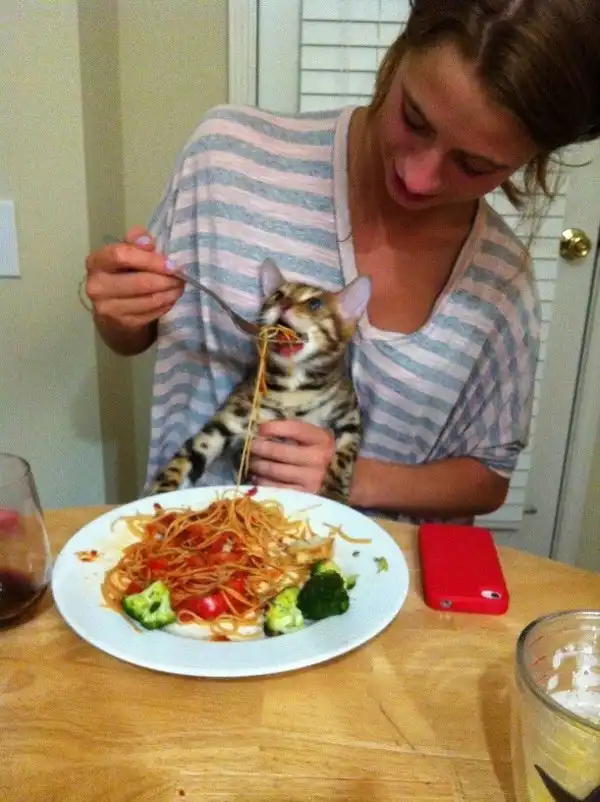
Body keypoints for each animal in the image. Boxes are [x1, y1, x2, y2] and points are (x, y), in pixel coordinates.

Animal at [151, 259, 372, 503]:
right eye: (277, 295)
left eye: (314, 303)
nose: (283, 304)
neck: (293, 387)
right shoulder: (228, 422)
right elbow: (186, 457)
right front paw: (159, 495)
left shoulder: (350, 417)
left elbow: (344, 456)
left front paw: (333, 493)